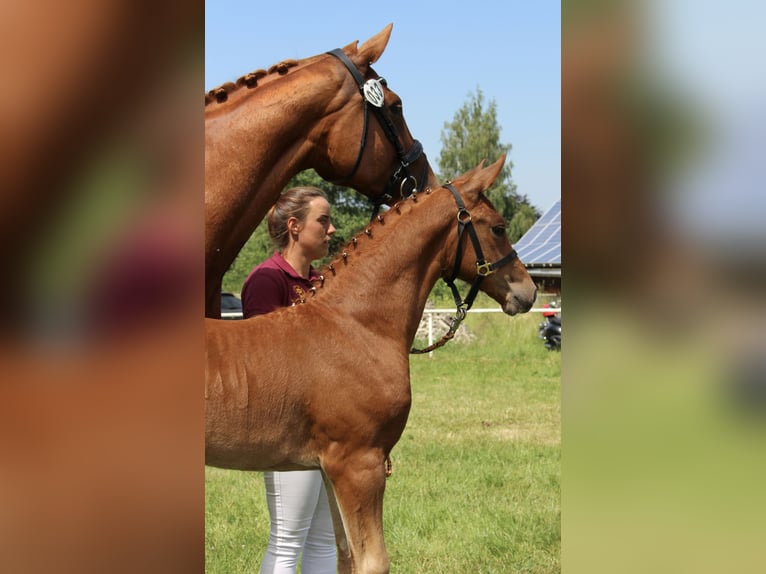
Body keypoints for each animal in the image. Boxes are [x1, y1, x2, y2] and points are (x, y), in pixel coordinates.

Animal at [205, 155, 537, 573]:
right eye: (498, 227)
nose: (529, 291)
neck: (356, 324)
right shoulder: (358, 463)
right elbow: (373, 561)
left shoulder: (329, 468)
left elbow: (345, 555)